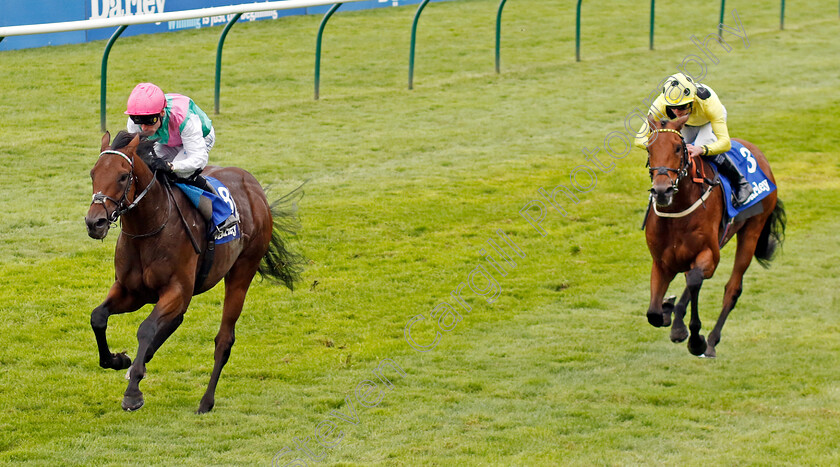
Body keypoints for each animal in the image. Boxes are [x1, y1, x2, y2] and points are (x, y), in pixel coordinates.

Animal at [84, 132, 302, 414]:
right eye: (93, 173)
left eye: (123, 176)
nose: (94, 222)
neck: (150, 228)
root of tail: (255, 188)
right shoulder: (131, 292)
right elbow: (98, 317)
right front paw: (119, 360)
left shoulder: (176, 290)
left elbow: (146, 328)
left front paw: (133, 393)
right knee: (175, 320)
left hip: (243, 271)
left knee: (224, 339)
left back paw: (206, 402)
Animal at [644, 116, 788, 358]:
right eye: (649, 148)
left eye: (677, 148)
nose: (662, 191)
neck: (677, 210)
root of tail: (757, 152)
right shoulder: (662, 262)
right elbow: (653, 313)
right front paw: (667, 310)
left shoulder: (710, 255)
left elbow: (695, 280)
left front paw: (696, 340)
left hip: (752, 230)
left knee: (731, 288)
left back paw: (710, 341)